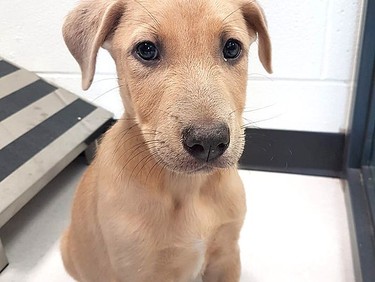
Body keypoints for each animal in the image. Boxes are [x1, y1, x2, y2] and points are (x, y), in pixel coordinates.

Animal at [61, 1, 274, 280]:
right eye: (146, 50)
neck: (187, 188)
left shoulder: (227, 256)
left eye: (232, 47)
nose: (208, 142)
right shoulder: (138, 271)